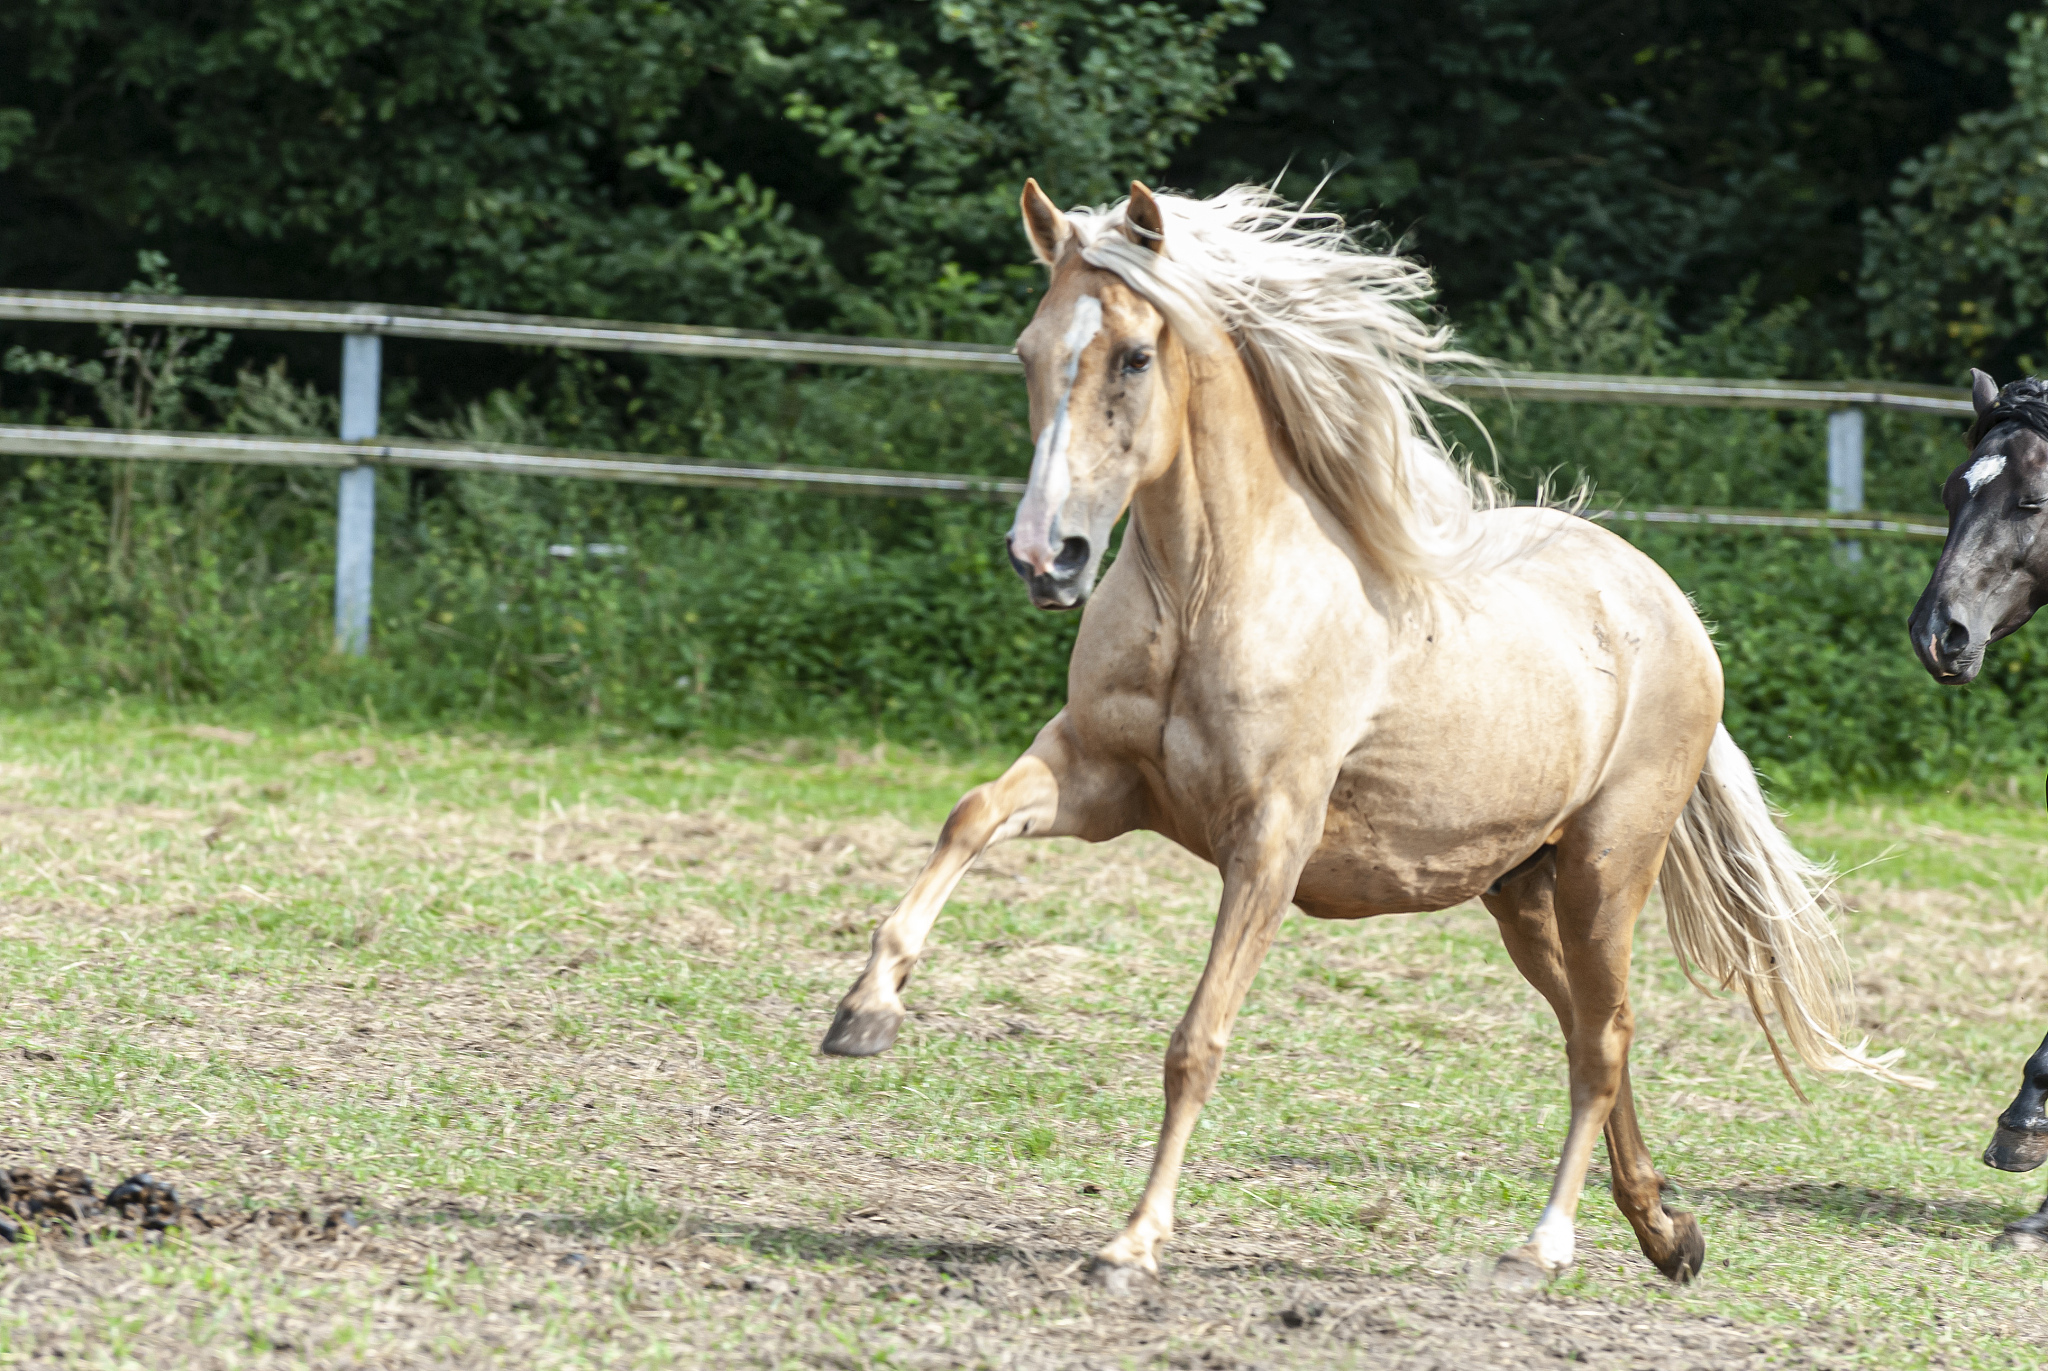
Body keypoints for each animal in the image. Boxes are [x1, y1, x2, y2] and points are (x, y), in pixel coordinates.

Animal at [823, 179, 1911, 1291]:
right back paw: (1664, 1230)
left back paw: (1543, 1246)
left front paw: (1131, 1241)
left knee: (1602, 1040)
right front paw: (865, 1013)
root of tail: (1671, 607)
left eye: (1132, 356)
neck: (1208, 593)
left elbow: (1196, 1042)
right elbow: (969, 816)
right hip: (1519, 892)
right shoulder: (1094, 778)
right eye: (1026, 352)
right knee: (1587, 1031)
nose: (1047, 557)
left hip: (1606, 868)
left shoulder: (1268, 838)